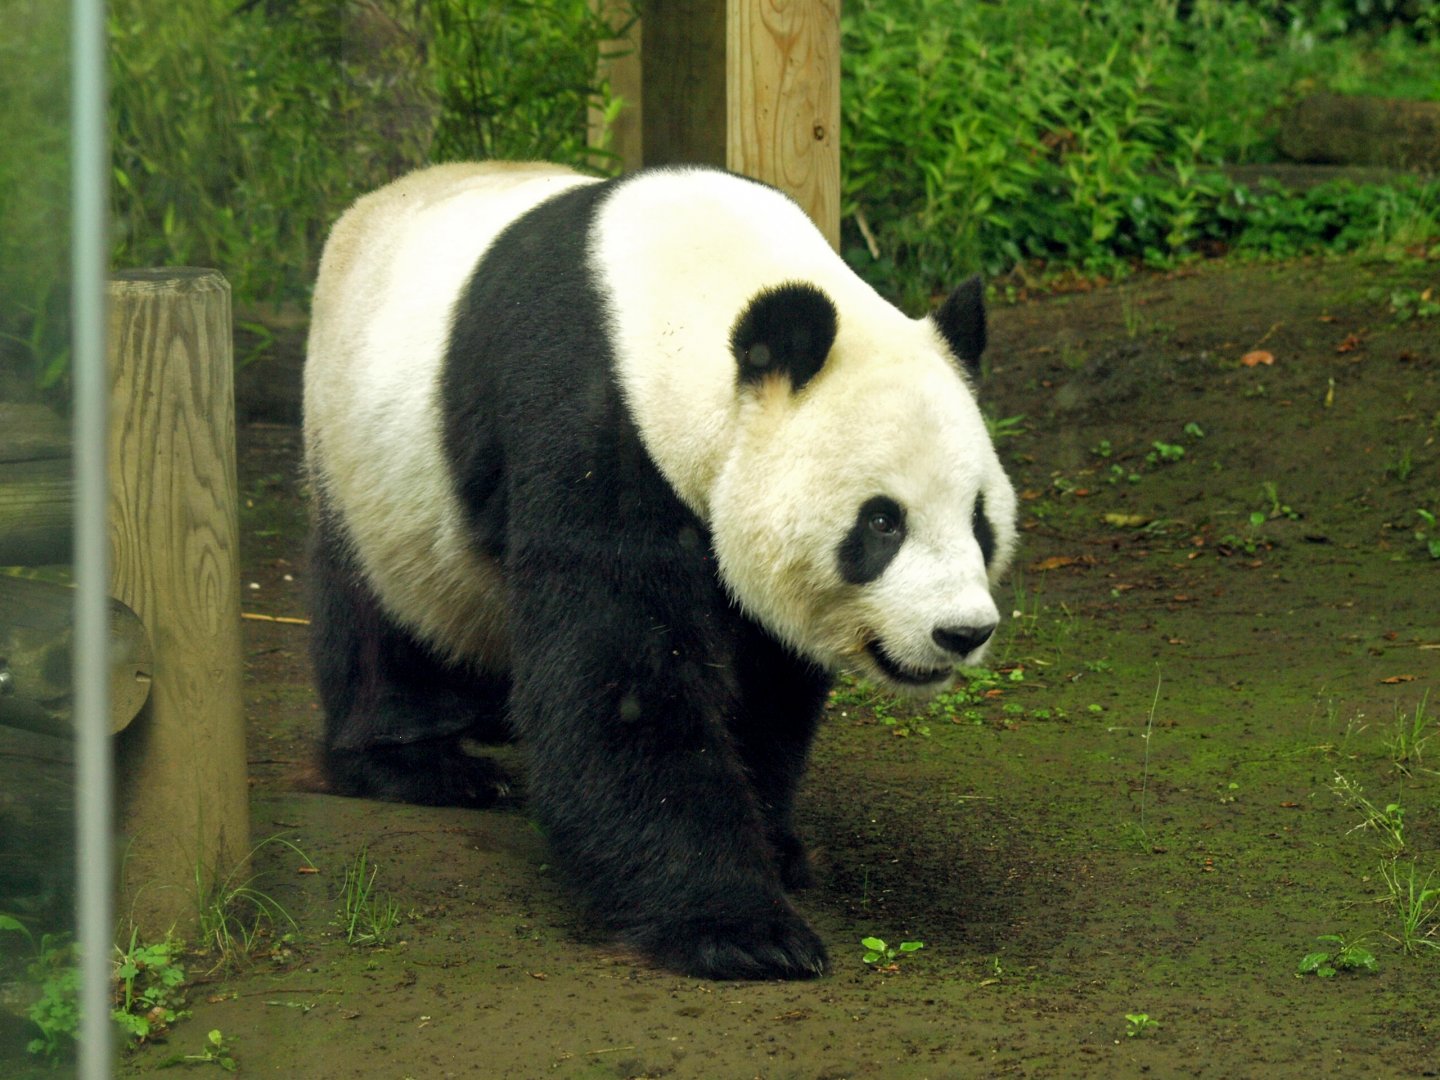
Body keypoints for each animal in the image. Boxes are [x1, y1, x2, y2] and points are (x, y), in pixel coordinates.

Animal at [304, 161, 1018, 981]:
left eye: (979, 517)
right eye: (882, 522)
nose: (961, 632)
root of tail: (367, 208)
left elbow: (766, 676)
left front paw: (774, 843)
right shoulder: (592, 423)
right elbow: (623, 673)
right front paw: (739, 929)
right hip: (367, 466)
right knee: (377, 614)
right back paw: (419, 764)